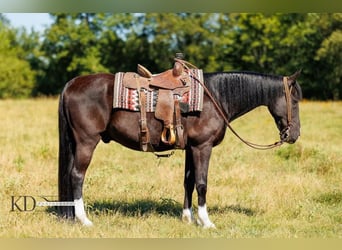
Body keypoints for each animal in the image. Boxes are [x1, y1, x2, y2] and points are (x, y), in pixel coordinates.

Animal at [58, 67, 302, 228]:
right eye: (295, 100)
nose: (294, 135)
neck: (215, 97)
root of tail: (71, 83)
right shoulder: (203, 147)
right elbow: (202, 184)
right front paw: (206, 221)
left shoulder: (191, 148)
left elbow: (188, 182)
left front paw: (188, 218)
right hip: (87, 141)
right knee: (77, 176)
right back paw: (84, 219)